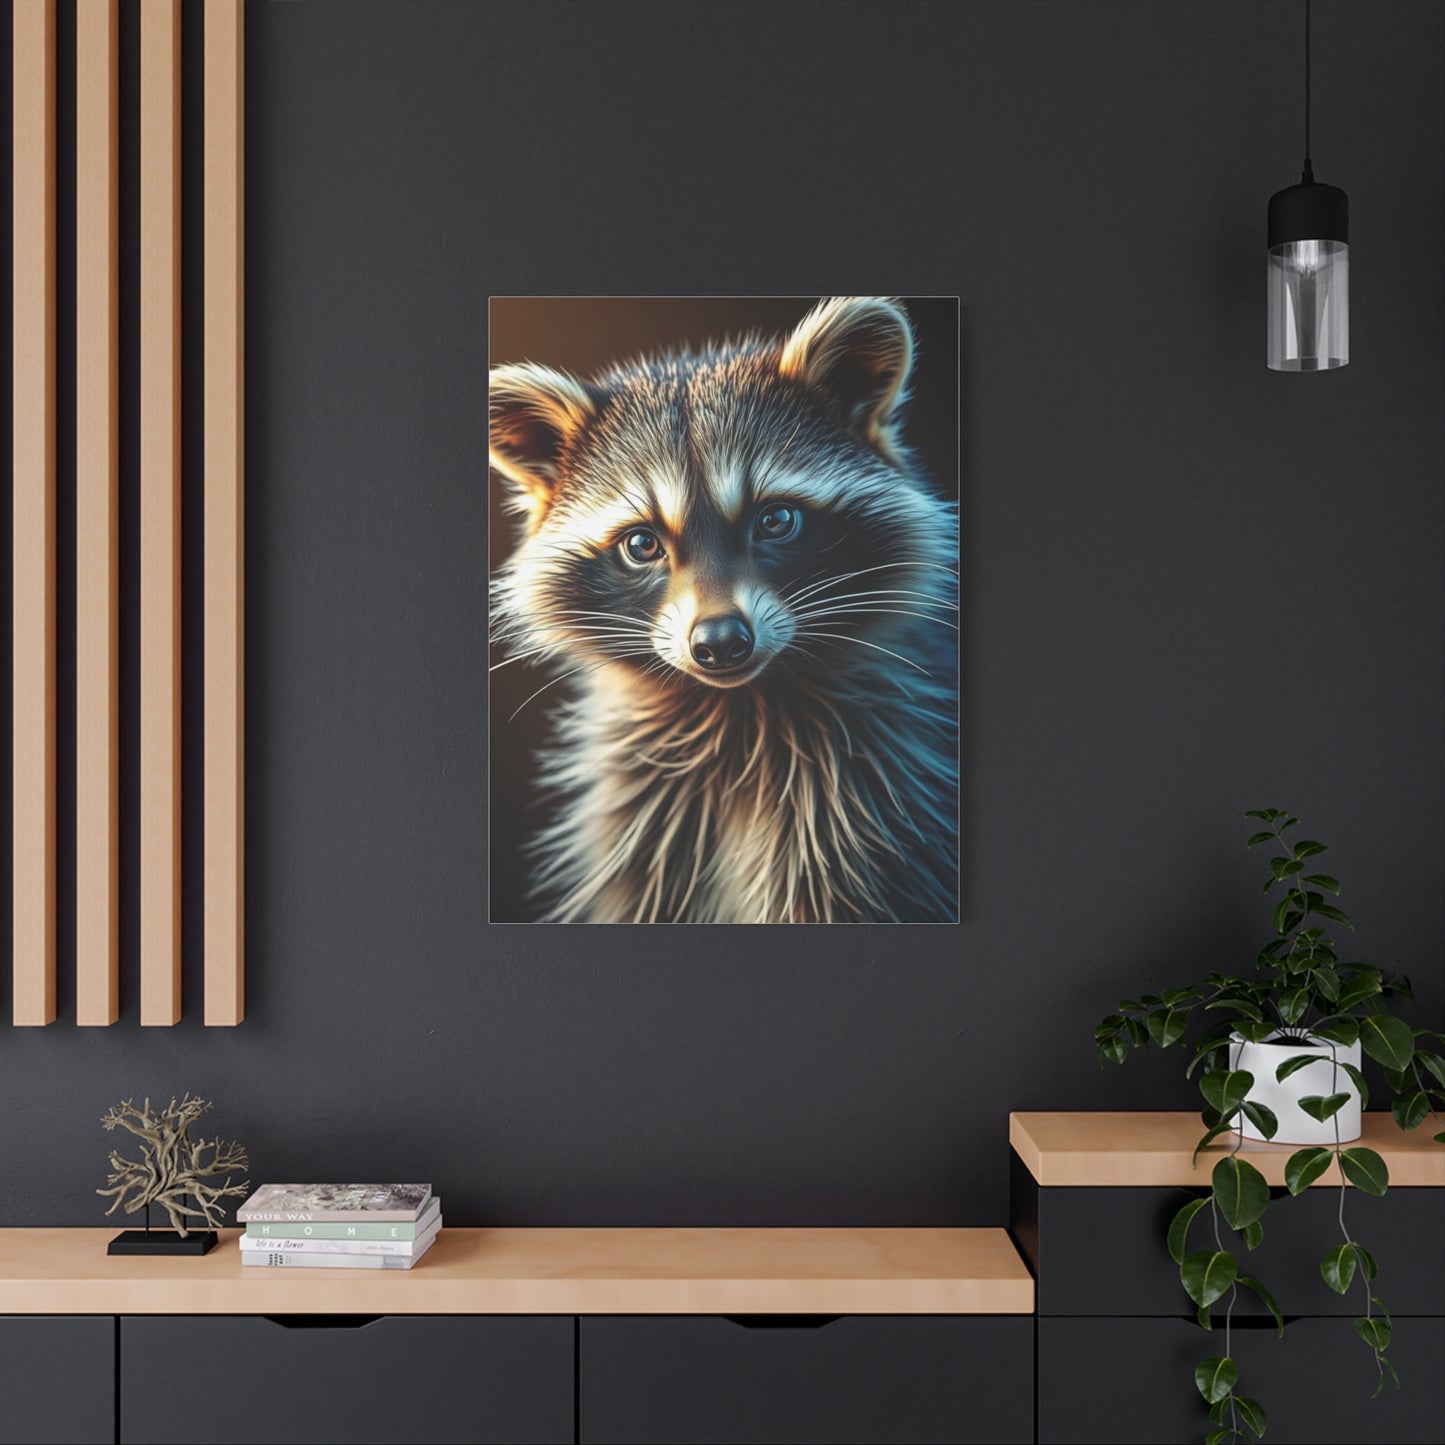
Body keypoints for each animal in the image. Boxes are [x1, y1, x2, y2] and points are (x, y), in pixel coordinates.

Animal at [489, 297, 958, 923]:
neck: (741, 709)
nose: (719, 643)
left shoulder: (871, 808)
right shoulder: (646, 823)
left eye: (776, 520)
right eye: (642, 545)